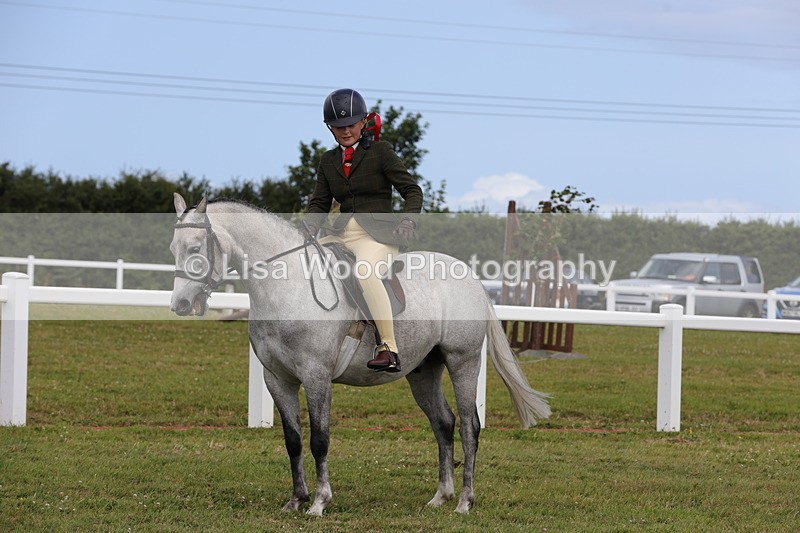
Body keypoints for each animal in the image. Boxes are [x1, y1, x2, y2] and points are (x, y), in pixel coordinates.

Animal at [168, 194, 551, 515]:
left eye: (196, 247)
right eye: (174, 248)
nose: (181, 305)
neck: (286, 285)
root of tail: (472, 279)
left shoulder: (317, 376)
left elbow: (319, 440)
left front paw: (319, 503)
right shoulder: (277, 379)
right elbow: (293, 440)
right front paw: (295, 500)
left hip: (463, 362)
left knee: (470, 427)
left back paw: (465, 502)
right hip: (423, 372)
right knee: (443, 423)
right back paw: (440, 497)